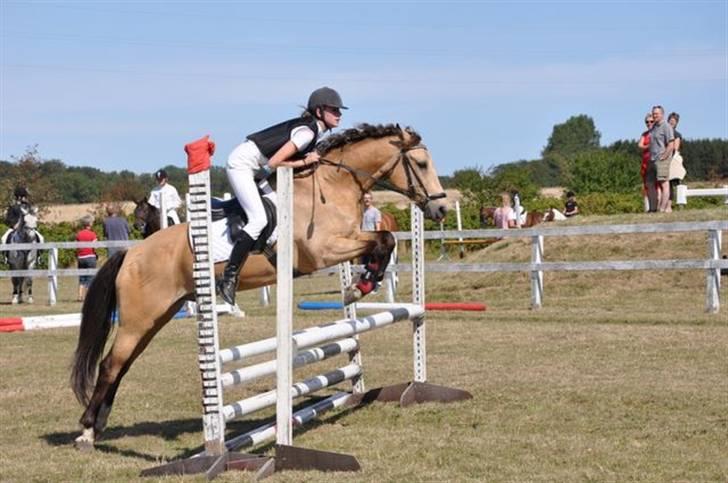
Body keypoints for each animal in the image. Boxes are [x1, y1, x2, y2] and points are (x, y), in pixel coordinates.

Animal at [72, 124, 450, 450]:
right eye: (420, 163)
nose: (441, 207)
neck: (333, 185)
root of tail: (132, 252)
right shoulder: (323, 251)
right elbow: (383, 239)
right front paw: (359, 287)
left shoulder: (348, 240)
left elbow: (383, 241)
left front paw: (362, 284)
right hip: (139, 318)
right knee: (110, 365)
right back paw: (87, 430)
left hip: (155, 317)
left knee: (121, 363)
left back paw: (99, 425)